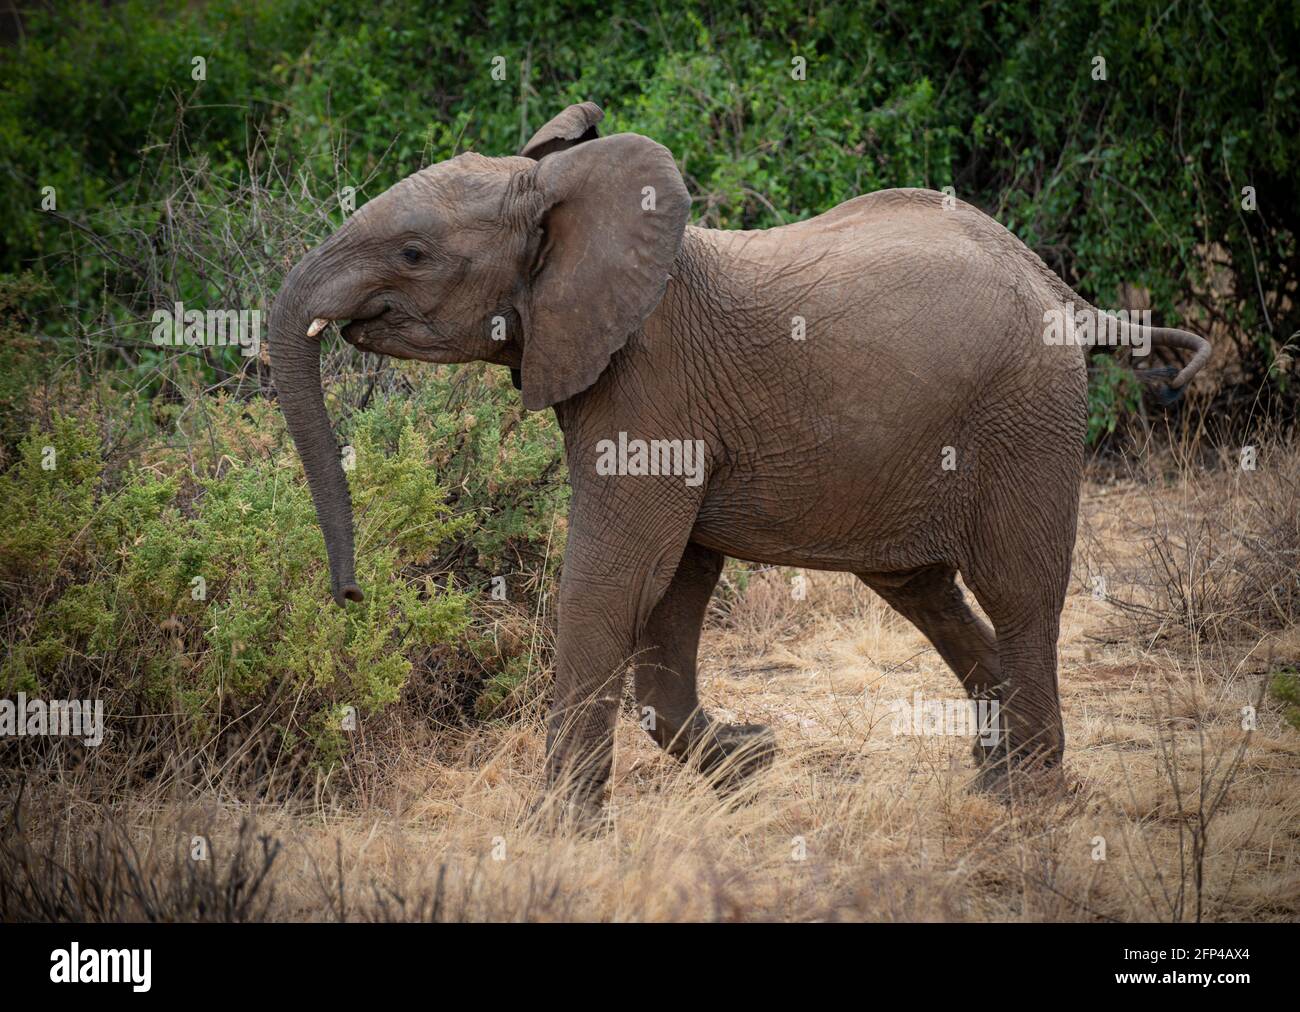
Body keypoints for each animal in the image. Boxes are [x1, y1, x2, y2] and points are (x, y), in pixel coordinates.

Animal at [269, 98, 1211, 816]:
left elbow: (613, 580)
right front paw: (752, 761)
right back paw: (993, 773)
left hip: (1025, 417)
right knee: (924, 591)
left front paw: (558, 828)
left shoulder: (648, 382)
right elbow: (670, 590)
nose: (350, 595)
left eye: (413, 253)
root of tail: (1064, 292)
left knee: (1018, 590)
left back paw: (1025, 794)